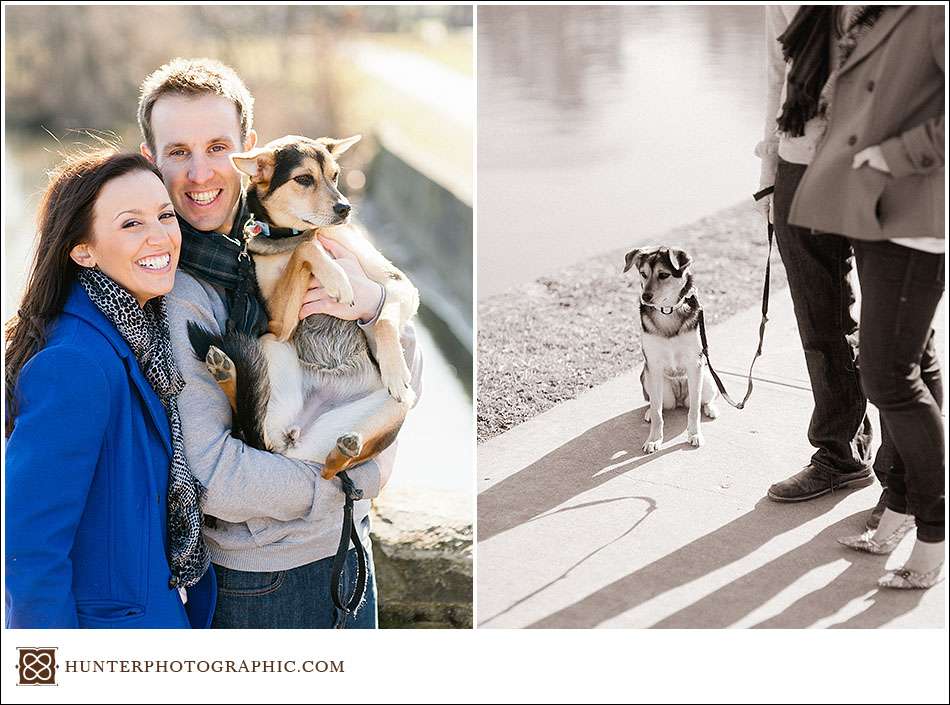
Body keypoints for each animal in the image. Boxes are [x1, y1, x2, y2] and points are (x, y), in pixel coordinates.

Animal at [190, 133, 416, 478]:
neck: (293, 233)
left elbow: (385, 320)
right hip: (271, 345)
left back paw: (346, 447)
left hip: (397, 405)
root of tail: (296, 440)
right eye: (304, 179)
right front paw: (336, 278)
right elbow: (307, 249)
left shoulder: (399, 284)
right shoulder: (277, 323)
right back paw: (225, 371)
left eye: (335, 176)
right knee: (246, 415)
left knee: (332, 469)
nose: (345, 208)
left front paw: (395, 370)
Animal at [624, 245, 720, 454]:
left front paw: (694, 434)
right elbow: (658, 412)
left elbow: (694, 410)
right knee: (659, 404)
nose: (645, 296)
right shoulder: (653, 366)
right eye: (643, 274)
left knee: (703, 400)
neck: (667, 311)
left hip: (707, 379)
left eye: (663, 275)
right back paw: (649, 411)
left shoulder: (695, 364)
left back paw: (710, 408)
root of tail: (680, 398)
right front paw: (654, 439)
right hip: (650, 381)